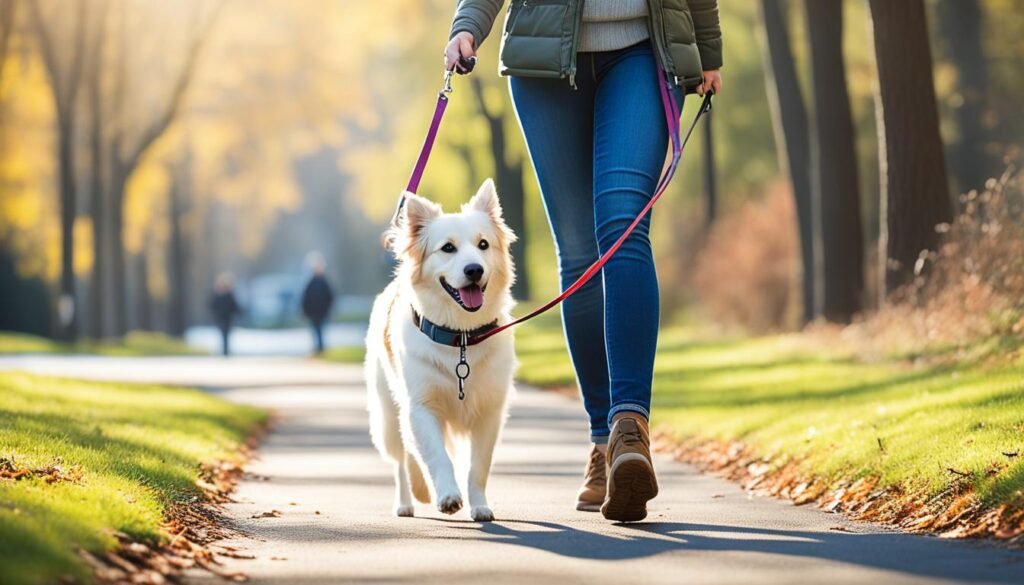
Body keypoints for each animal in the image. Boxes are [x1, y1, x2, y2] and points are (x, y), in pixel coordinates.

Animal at [364, 177, 516, 522]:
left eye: (483, 244)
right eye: (448, 248)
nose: (474, 270)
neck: (461, 338)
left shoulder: (489, 413)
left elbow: (477, 468)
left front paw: (479, 505)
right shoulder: (421, 407)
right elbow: (435, 456)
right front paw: (446, 495)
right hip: (388, 414)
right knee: (401, 460)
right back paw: (407, 501)